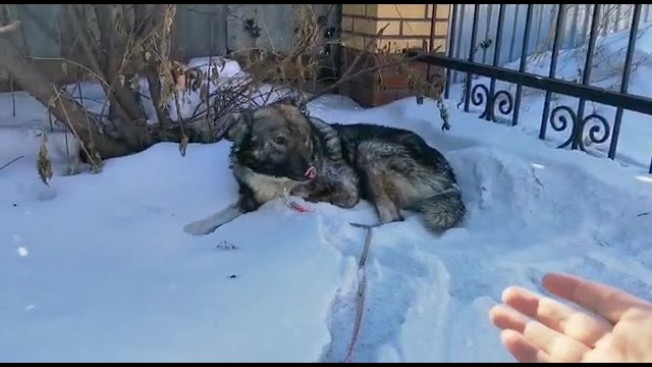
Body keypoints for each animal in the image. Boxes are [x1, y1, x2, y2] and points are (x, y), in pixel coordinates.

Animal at [182, 98, 464, 236]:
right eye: (280, 140)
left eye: (305, 139)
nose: (311, 171)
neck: (274, 179)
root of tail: (451, 176)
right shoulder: (250, 195)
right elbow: (226, 212)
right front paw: (198, 226)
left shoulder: (348, 189)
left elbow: (307, 197)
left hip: (369, 150)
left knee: (392, 217)